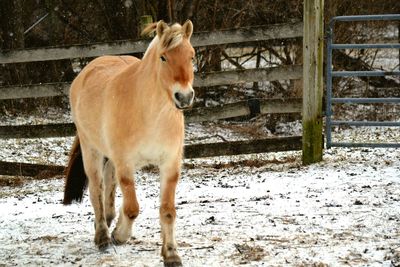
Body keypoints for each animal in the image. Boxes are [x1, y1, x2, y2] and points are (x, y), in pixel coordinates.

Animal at [61, 19, 195, 266]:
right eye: (163, 57)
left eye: (191, 56)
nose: (184, 97)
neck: (151, 114)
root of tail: (84, 73)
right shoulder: (125, 163)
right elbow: (132, 208)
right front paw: (119, 235)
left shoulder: (170, 165)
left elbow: (168, 211)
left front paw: (171, 254)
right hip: (91, 150)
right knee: (97, 189)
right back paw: (103, 236)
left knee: (109, 186)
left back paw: (110, 219)